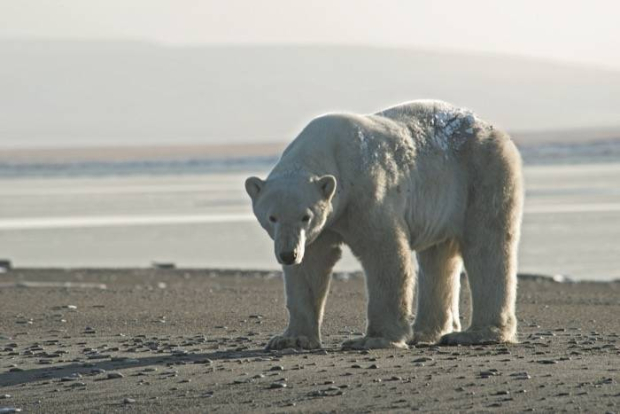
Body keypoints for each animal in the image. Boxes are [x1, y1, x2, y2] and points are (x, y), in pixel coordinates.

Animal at [245, 100, 520, 350]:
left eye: (305, 216)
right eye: (272, 217)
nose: (288, 254)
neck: (330, 152)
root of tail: (492, 129)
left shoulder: (367, 193)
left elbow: (384, 255)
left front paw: (373, 338)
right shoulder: (321, 227)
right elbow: (310, 266)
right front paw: (291, 338)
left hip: (482, 173)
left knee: (487, 245)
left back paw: (478, 333)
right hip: (443, 202)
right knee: (438, 256)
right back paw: (427, 333)